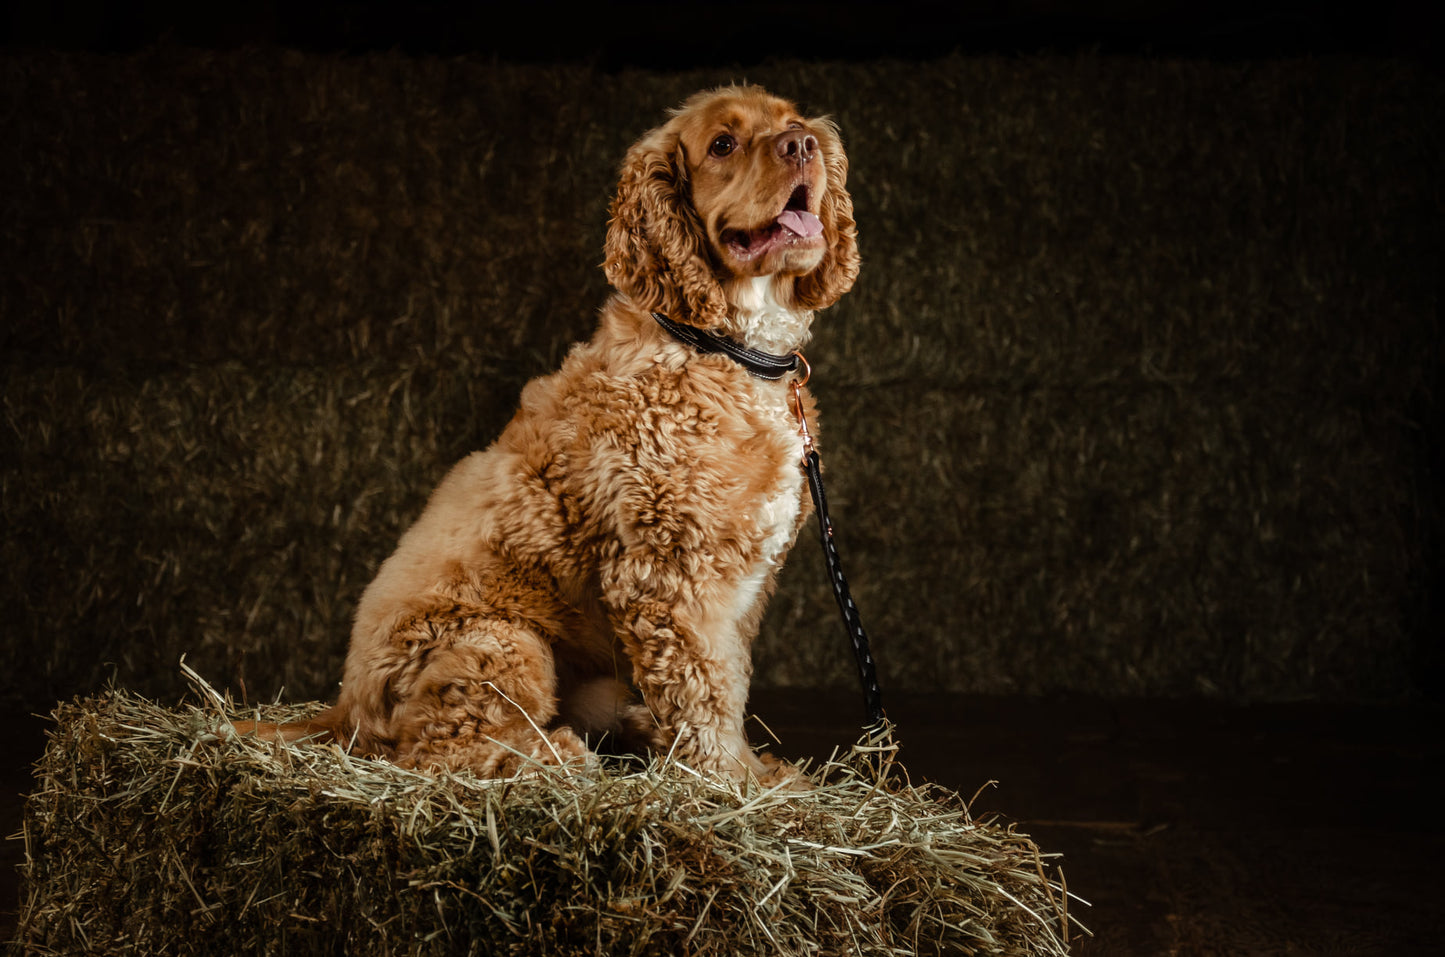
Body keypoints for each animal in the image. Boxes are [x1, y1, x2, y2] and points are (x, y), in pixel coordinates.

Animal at [239, 86, 855, 786]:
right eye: (722, 144)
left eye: (794, 122)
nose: (800, 146)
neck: (719, 348)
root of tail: (344, 710)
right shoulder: (669, 576)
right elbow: (704, 688)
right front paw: (727, 779)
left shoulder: (744, 588)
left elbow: (732, 679)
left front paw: (755, 772)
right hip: (502, 640)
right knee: (445, 750)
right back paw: (553, 755)